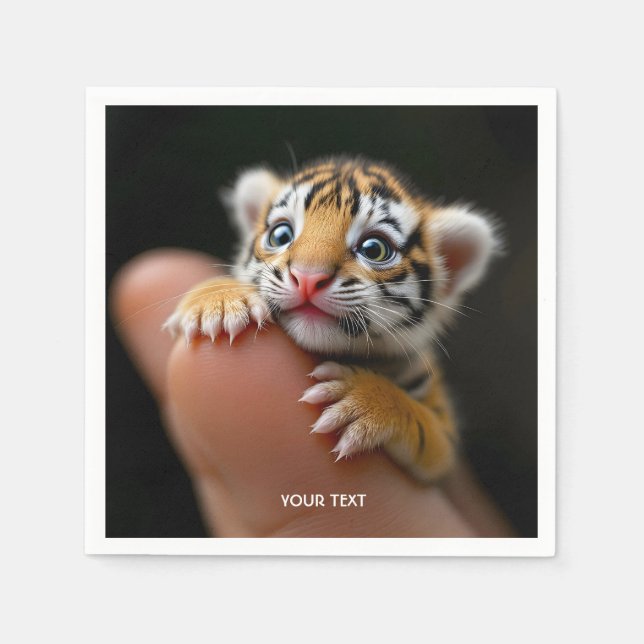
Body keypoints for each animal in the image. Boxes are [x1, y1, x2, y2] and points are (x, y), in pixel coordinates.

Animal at [163, 156, 501, 482]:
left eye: (374, 249)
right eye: (281, 235)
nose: (307, 277)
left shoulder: (445, 445)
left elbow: (424, 427)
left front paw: (365, 402)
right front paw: (219, 301)